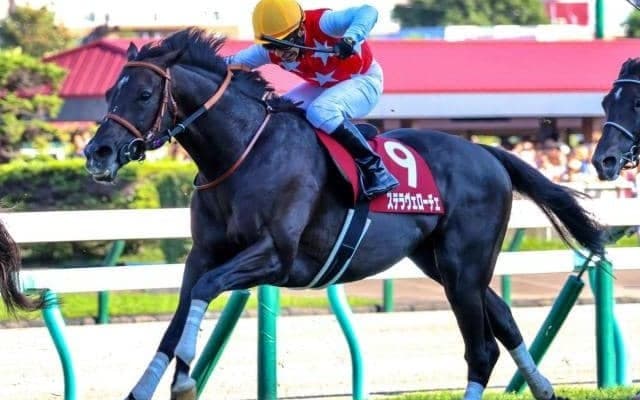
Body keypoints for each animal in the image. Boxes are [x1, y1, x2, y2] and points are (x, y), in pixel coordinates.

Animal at [77, 28, 605, 400]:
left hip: (463, 264)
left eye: (144, 95)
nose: (97, 152)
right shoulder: (202, 254)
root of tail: (489, 153)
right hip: (443, 264)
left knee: (482, 349)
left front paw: (186, 378)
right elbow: (177, 318)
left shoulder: (276, 256)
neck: (242, 153)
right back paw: (543, 388)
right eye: (109, 94)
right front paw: (144, 388)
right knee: (505, 321)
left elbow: (205, 293)